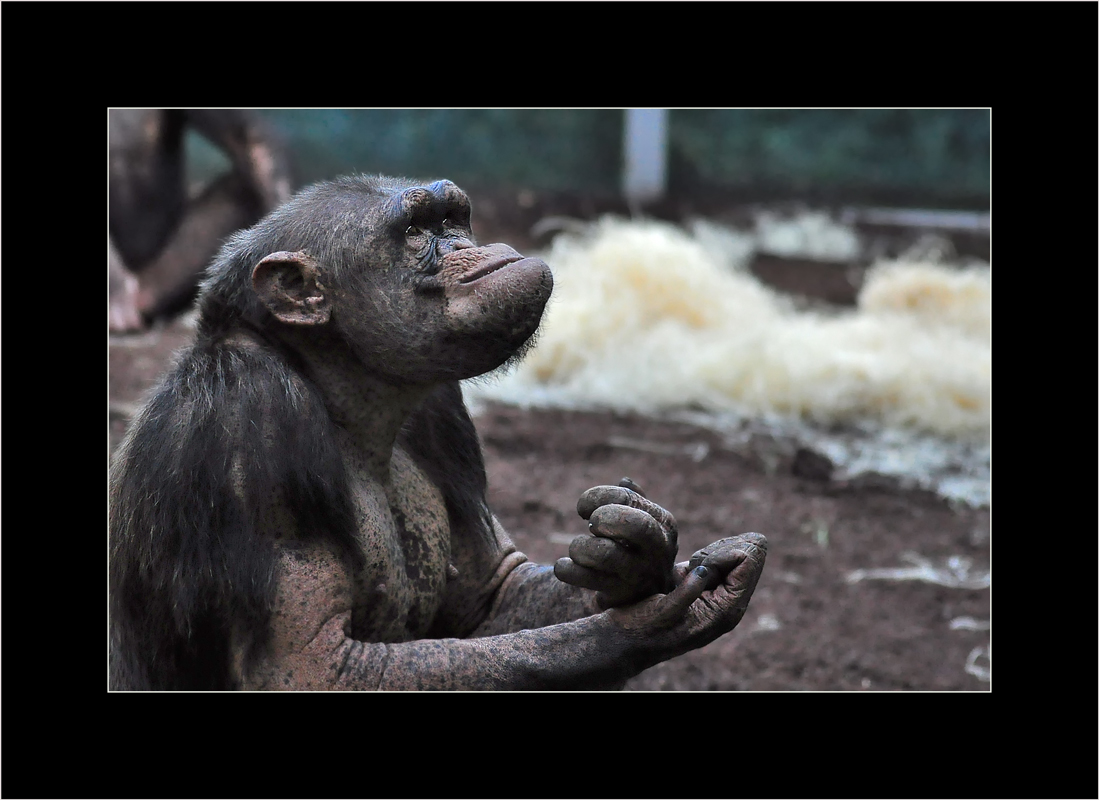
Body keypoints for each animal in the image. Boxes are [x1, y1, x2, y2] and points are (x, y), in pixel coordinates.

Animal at [107, 176, 769, 694]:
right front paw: (646, 624)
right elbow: (308, 665)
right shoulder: (252, 423)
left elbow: (490, 598)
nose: (462, 244)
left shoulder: (439, 407)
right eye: (414, 231)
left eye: (451, 218)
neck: (342, 393)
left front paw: (636, 549)